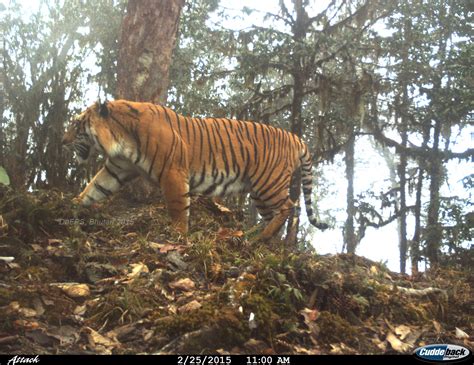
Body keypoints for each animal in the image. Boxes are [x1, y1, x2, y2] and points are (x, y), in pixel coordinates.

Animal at [62, 101, 330, 240]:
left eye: (76, 124)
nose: (63, 141)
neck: (120, 139)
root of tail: (295, 137)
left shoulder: (173, 173)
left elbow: (178, 208)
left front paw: (178, 236)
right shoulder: (118, 168)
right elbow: (94, 188)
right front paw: (69, 206)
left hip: (268, 184)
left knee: (289, 207)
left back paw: (259, 237)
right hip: (260, 192)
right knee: (277, 214)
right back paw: (262, 239)